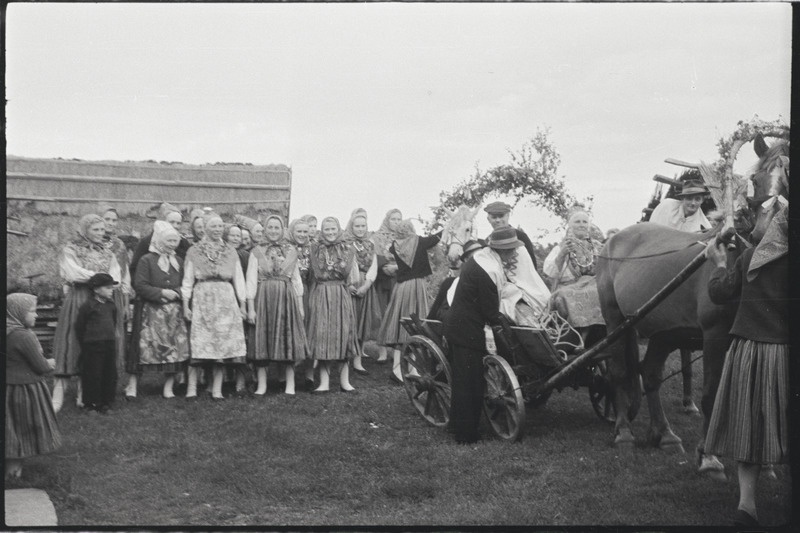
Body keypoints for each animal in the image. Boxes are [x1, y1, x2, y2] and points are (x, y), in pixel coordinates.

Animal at [592, 135, 788, 476]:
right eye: (755, 178)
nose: (766, 227)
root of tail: (614, 240)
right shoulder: (714, 335)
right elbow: (711, 394)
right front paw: (708, 457)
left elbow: (765, 399)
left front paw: (764, 465)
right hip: (616, 323)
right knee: (618, 372)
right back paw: (624, 433)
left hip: (664, 333)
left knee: (650, 373)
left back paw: (665, 434)